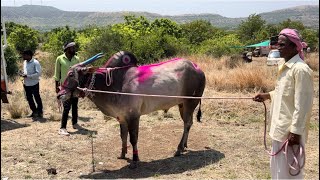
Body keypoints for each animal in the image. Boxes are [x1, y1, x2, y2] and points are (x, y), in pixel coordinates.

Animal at [58, 51, 206, 169]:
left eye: (71, 74)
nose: (59, 94)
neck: (113, 84)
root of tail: (197, 68)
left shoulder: (133, 116)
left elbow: (133, 138)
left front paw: (135, 160)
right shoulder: (122, 117)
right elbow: (123, 136)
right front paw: (123, 154)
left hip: (190, 103)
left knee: (187, 123)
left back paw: (179, 149)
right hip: (182, 105)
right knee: (188, 123)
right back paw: (184, 145)